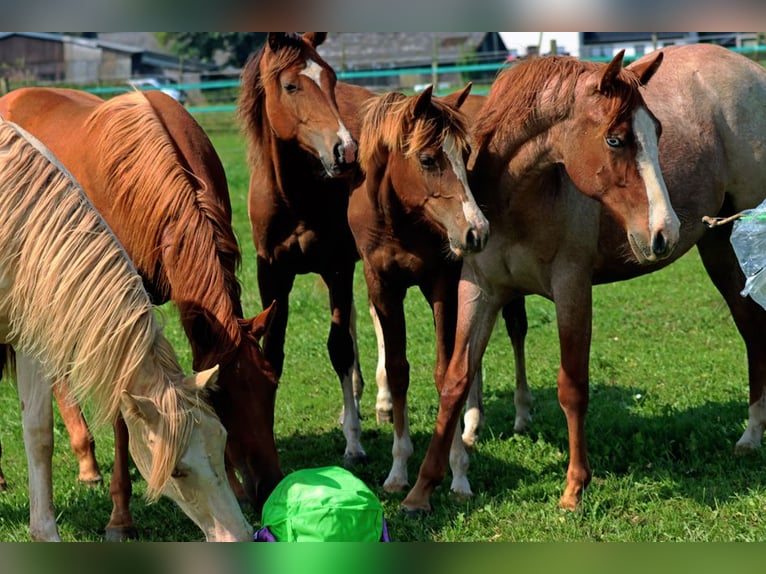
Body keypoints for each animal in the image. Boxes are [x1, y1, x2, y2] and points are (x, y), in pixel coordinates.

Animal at [240, 31, 378, 468]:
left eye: (330, 78)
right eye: (290, 86)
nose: (346, 151)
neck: (294, 197)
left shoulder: (337, 267)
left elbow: (339, 349)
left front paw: (354, 444)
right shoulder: (271, 274)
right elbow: (273, 353)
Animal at [350, 83, 492, 498]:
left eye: (465, 155)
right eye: (427, 159)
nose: (477, 231)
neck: (400, 224)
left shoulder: (442, 284)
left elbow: (448, 372)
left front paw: (457, 471)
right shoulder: (382, 285)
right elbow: (398, 369)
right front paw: (398, 471)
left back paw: (472, 425)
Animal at [402, 49, 684, 516]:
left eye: (657, 131)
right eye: (615, 140)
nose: (666, 232)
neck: (517, 200)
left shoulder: (572, 290)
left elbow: (572, 387)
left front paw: (574, 488)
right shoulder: (479, 290)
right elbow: (456, 379)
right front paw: (420, 490)